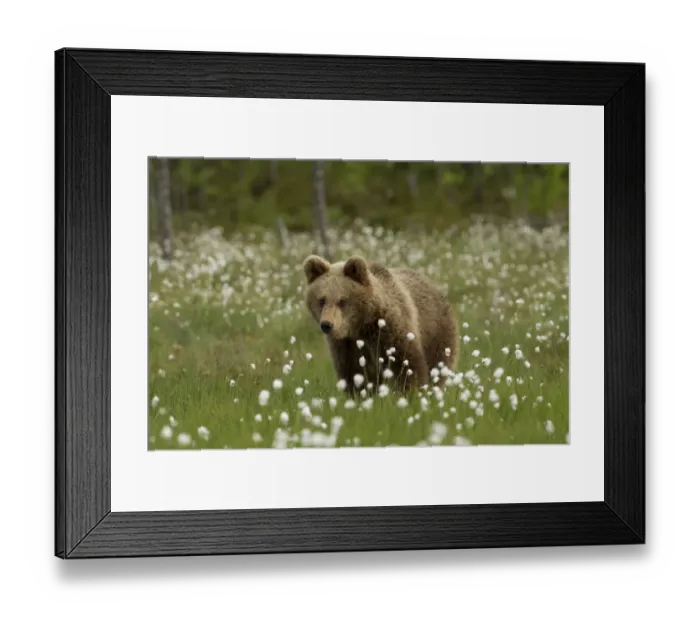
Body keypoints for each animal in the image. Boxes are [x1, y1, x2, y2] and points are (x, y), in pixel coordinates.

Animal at [302, 254, 459, 395]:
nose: (327, 325)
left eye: (342, 301)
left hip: (437, 333)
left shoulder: (389, 330)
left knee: (438, 366)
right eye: (322, 300)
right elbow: (354, 374)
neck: (361, 327)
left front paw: (412, 394)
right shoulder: (347, 346)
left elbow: (407, 365)